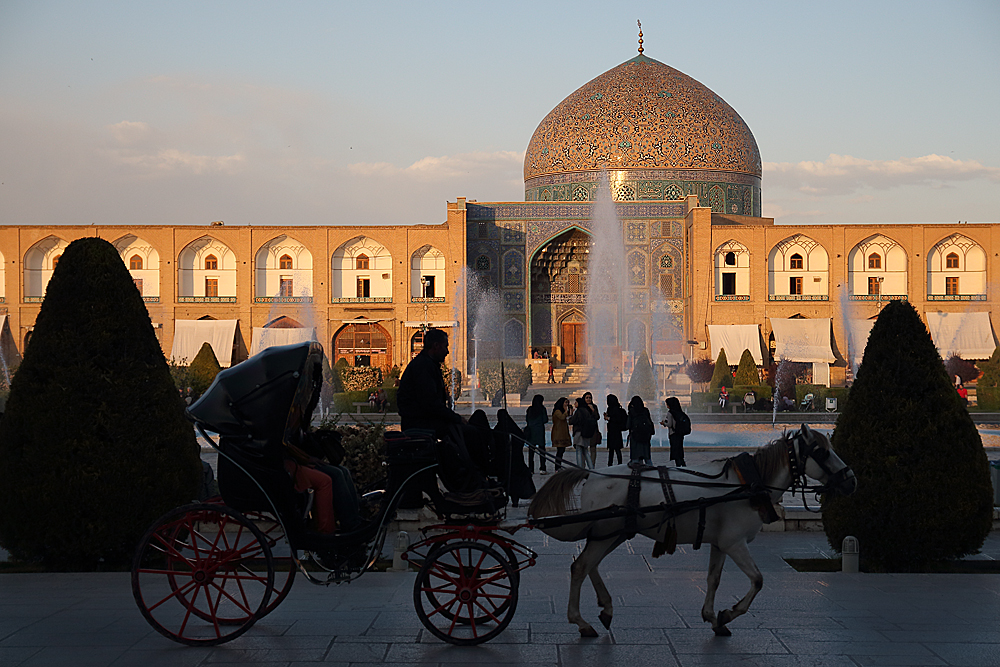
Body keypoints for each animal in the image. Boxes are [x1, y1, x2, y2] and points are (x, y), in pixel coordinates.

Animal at [528, 426, 856, 640]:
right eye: (822, 451)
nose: (851, 479)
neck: (747, 484)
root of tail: (592, 474)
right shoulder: (735, 542)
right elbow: (758, 580)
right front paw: (728, 613)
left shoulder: (721, 543)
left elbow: (713, 579)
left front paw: (712, 617)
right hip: (608, 533)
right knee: (581, 566)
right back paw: (581, 622)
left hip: (614, 531)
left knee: (589, 565)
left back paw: (606, 608)